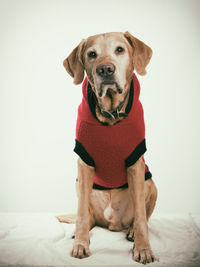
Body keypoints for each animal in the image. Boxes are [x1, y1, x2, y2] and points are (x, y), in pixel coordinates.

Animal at [57, 31, 157, 266]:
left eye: (119, 50)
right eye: (92, 54)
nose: (105, 69)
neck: (111, 114)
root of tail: (112, 222)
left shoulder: (135, 164)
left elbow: (141, 217)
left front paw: (143, 248)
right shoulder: (84, 163)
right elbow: (82, 214)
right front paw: (81, 244)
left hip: (150, 182)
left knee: (141, 216)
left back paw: (131, 231)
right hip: (79, 184)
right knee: (88, 216)